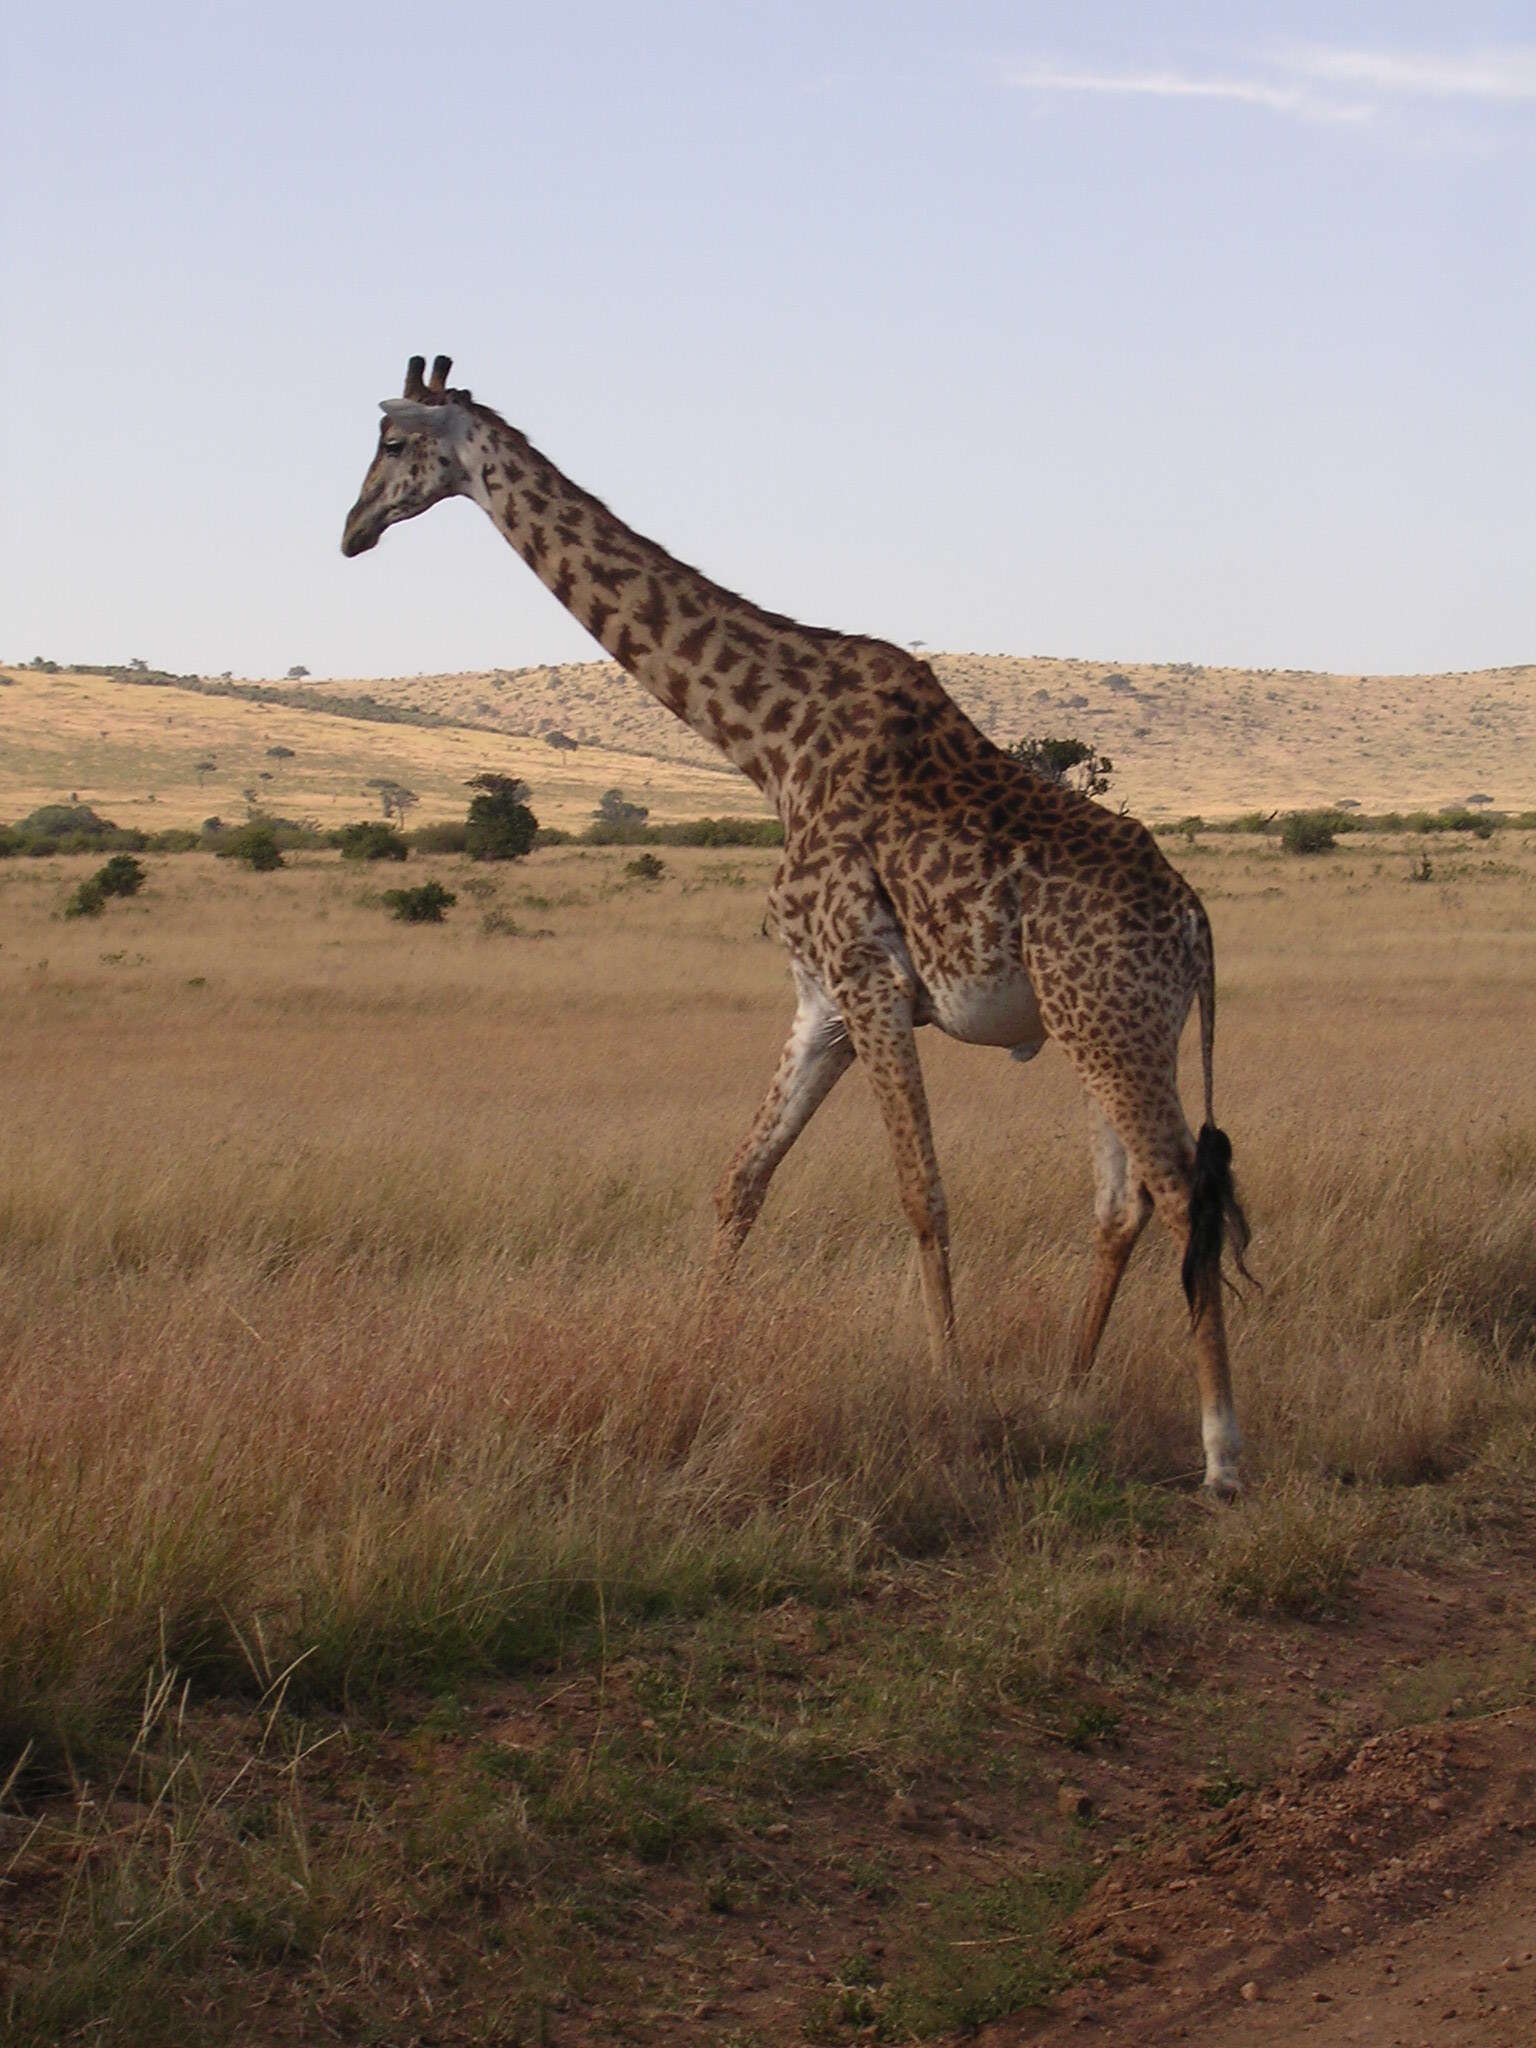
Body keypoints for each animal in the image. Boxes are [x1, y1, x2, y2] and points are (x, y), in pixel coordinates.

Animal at [342, 360, 1253, 1499]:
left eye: (388, 441)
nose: (352, 530)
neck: (767, 745)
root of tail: (1197, 922)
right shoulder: (820, 999)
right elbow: (740, 1182)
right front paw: (692, 1358)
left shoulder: (868, 980)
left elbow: (922, 1194)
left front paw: (953, 1393)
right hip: (1109, 1030)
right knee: (1122, 1204)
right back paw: (1069, 1393)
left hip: (1114, 1025)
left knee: (1180, 1191)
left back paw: (1221, 1452)